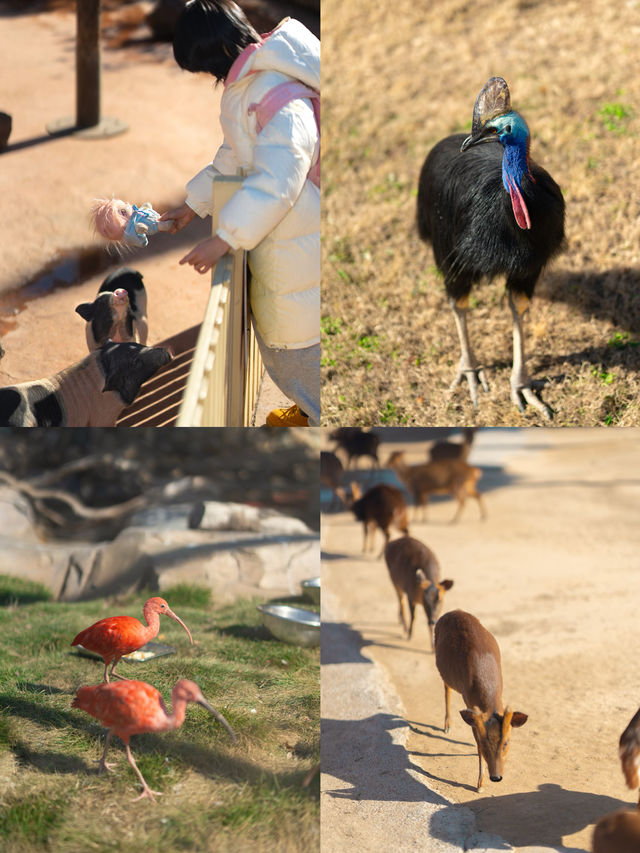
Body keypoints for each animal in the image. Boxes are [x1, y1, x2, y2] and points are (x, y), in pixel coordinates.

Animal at [432, 608, 528, 788]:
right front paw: (480, 784)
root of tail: (452, 611)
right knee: (446, 688)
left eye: (506, 742)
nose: (496, 777)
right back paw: (447, 725)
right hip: (444, 671)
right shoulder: (469, 701)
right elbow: (476, 743)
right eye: (484, 744)